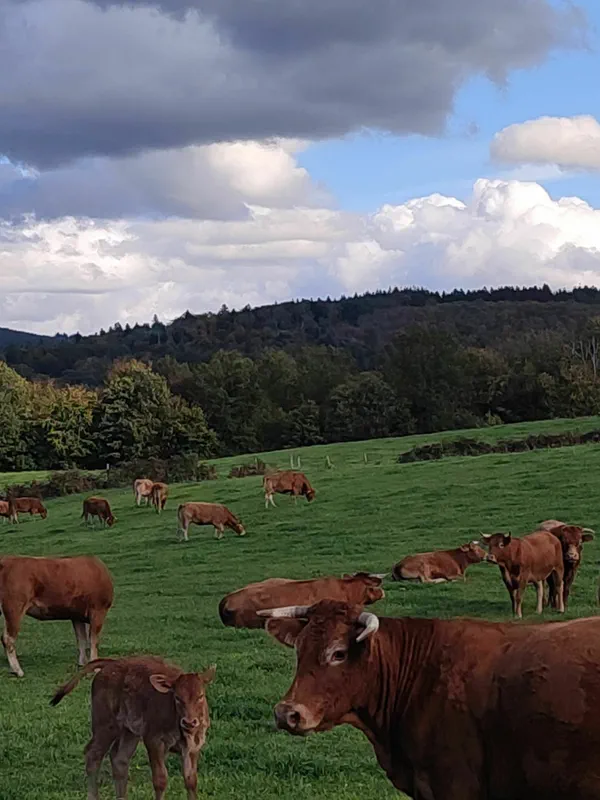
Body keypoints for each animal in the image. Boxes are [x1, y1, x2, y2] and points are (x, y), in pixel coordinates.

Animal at [51, 656, 215, 800]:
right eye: (177, 698)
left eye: (201, 696)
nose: (189, 722)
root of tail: (110, 663)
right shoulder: (154, 741)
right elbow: (160, 780)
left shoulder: (193, 746)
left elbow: (191, 781)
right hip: (105, 726)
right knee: (93, 755)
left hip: (129, 732)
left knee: (119, 759)